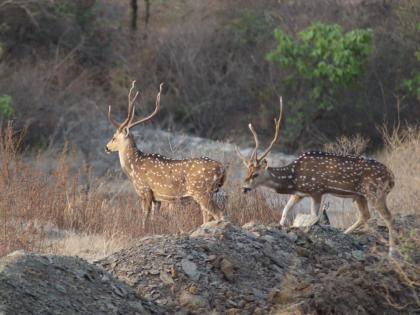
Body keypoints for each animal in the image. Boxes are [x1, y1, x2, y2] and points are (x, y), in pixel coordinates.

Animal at [106, 81, 228, 227]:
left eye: (114, 137)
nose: (106, 147)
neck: (133, 168)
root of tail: (222, 168)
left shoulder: (145, 190)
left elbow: (144, 219)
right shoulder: (157, 198)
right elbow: (154, 218)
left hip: (201, 191)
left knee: (219, 214)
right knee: (209, 215)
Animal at [236, 99, 398, 256]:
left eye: (255, 174)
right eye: (246, 173)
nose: (244, 188)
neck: (293, 177)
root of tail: (392, 178)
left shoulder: (317, 190)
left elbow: (314, 216)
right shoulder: (299, 193)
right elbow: (285, 210)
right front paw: (280, 227)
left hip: (375, 192)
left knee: (388, 217)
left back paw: (391, 251)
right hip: (360, 195)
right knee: (365, 215)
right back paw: (346, 234)